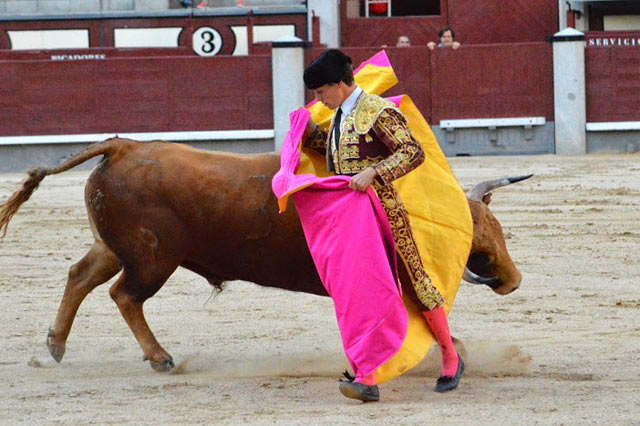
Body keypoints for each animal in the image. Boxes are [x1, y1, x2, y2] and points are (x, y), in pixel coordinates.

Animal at [0, 139, 528, 372]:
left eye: (499, 231)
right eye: (480, 246)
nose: (514, 279)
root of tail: (123, 147)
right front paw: (454, 352)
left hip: (114, 247)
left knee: (81, 275)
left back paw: (55, 346)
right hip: (152, 260)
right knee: (124, 295)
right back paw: (160, 357)